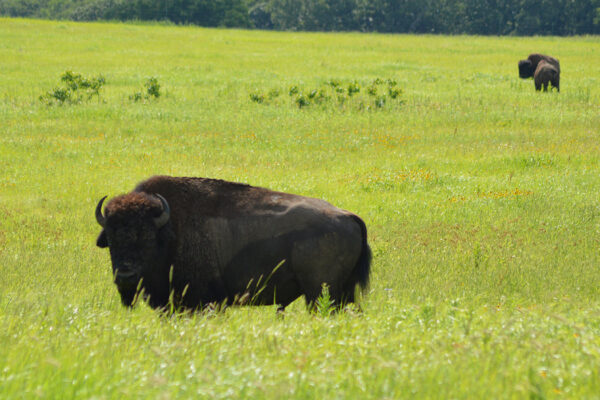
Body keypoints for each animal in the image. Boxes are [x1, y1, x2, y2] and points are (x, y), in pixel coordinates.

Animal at [96, 176, 370, 312]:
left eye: (147, 238)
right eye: (110, 239)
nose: (125, 276)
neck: (170, 227)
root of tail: (349, 216)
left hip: (320, 292)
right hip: (342, 292)